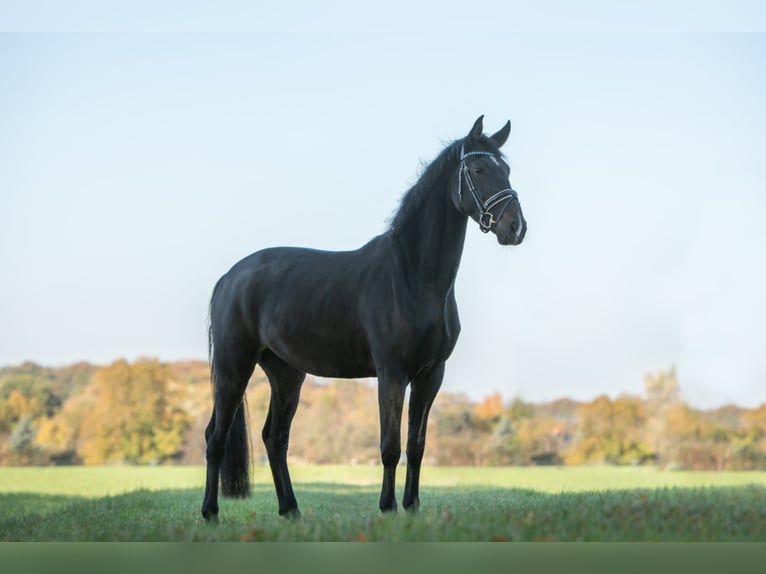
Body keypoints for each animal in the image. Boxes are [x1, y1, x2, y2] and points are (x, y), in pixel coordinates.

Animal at [202, 117, 528, 520]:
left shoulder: (430, 375)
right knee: (215, 437)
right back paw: (210, 513)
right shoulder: (391, 372)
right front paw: (388, 508)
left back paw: (290, 510)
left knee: (274, 438)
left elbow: (416, 446)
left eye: (507, 170)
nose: (516, 228)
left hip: (286, 374)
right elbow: (390, 446)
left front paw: (412, 507)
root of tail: (230, 277)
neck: (413, 276)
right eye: (479, 169)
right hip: (234, 368)